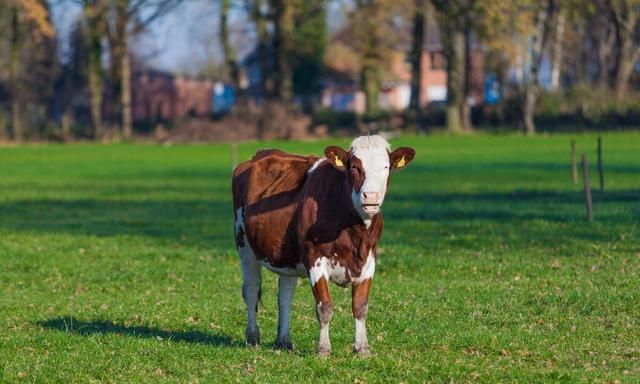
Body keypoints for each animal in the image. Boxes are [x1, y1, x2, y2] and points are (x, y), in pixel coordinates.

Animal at [230, 136, 416, 356]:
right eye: (354, 167)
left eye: (386, 167)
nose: (370, 197)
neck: (353, 232)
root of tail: (260, 154)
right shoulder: (314, 257)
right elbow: (324, 307)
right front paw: (323, 349)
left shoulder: (369, 259)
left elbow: (361, 307)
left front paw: (362, 348)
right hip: (244, 245)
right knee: (251, 290)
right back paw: (252, 338)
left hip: (286, 254)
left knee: (285, 295)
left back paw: (283, 341)